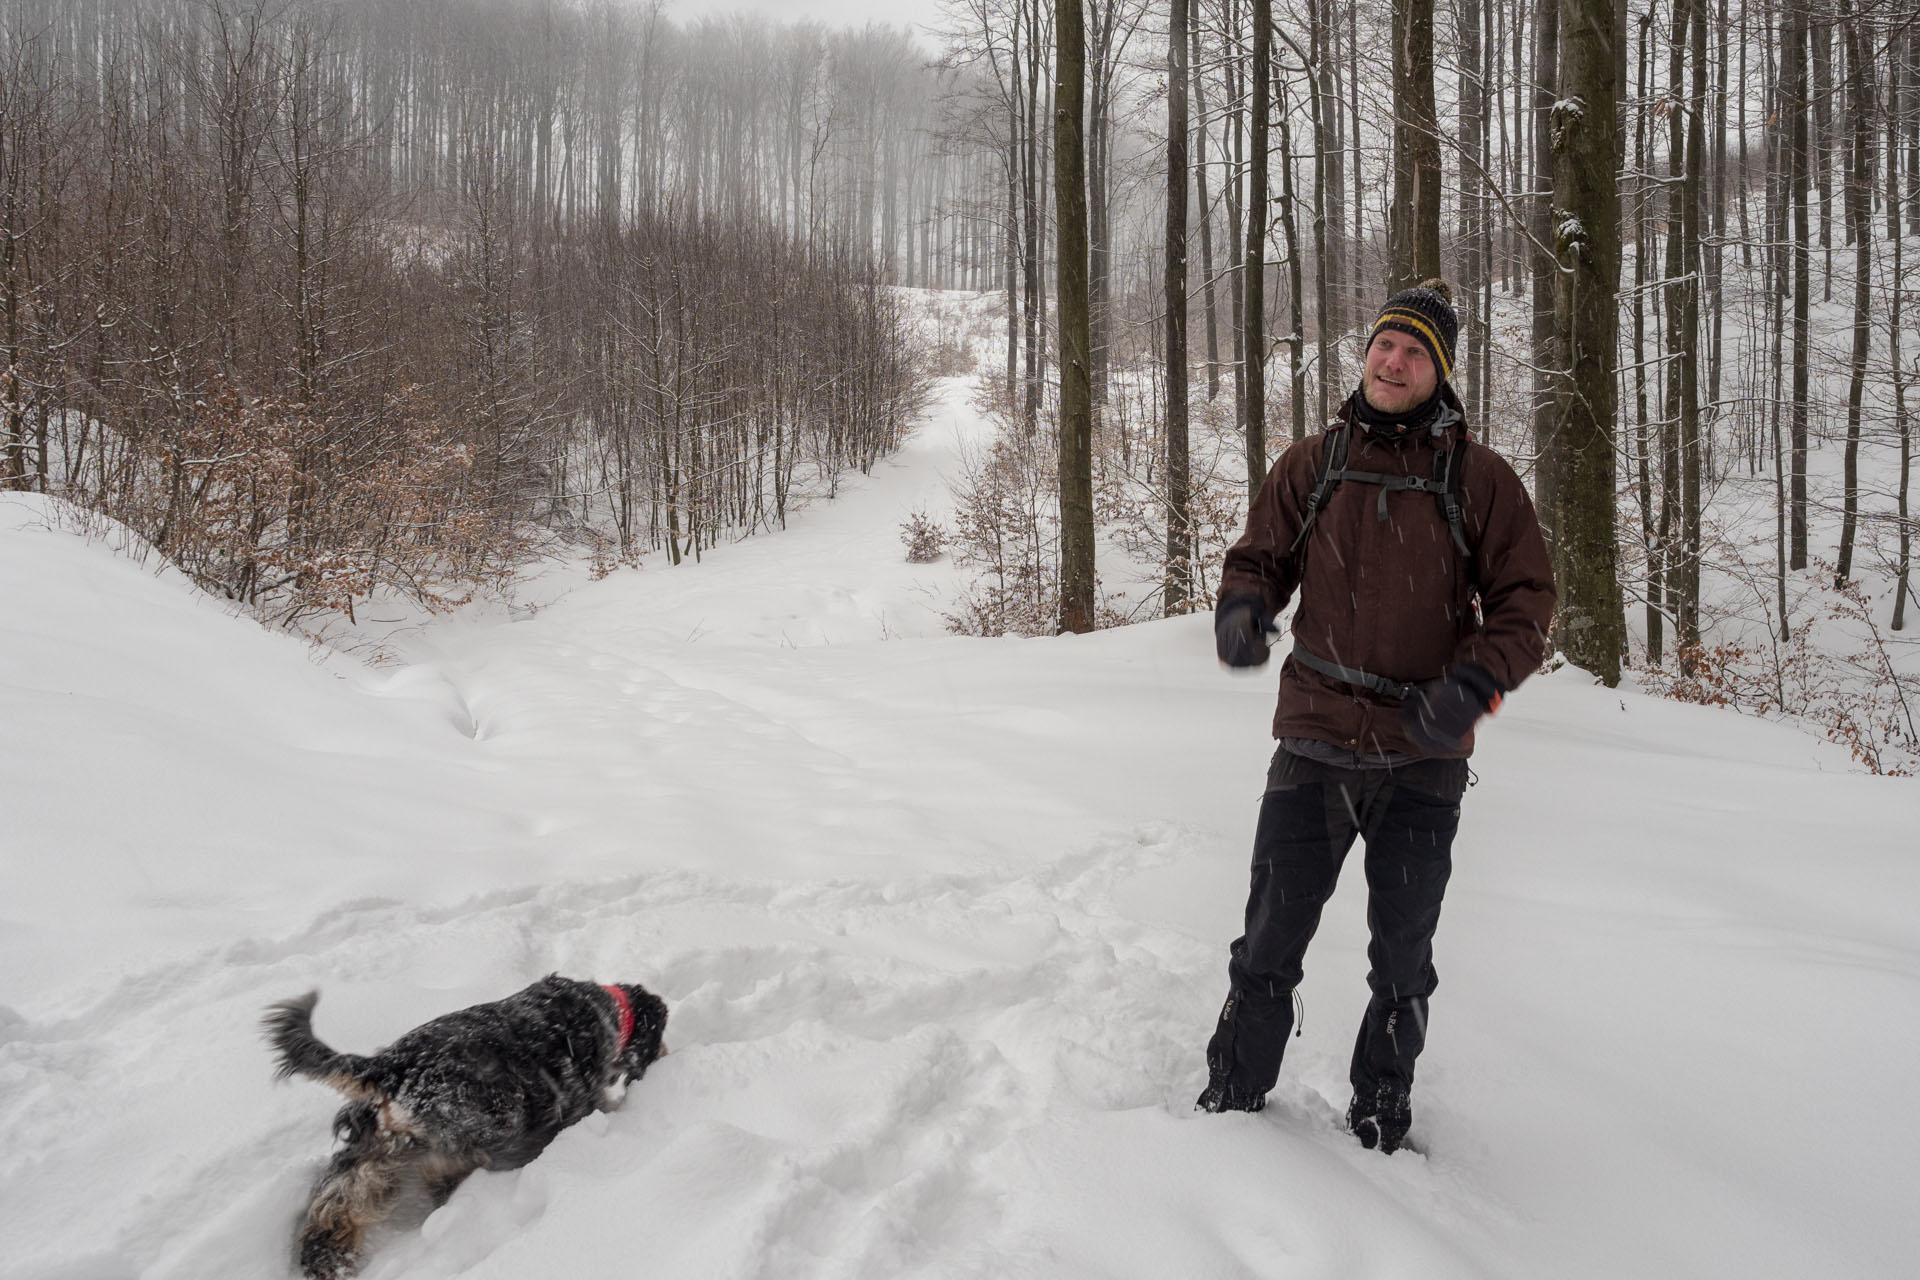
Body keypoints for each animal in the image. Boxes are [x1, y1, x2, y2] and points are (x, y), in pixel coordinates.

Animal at [263, 974, 668, 1274]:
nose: (663, 1055)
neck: (607, 1011)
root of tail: (390, 1068)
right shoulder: (577, 1097)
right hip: (478, 1132)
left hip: (373, 1145)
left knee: (338, 1198)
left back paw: (329, 1259)